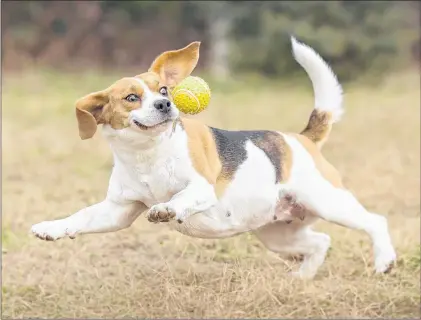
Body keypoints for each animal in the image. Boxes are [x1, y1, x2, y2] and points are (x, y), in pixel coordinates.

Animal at [31, 37, 396, 278]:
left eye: (163, 90)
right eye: (131, 98)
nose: (165, 104)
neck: (149, 153)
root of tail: (301, 138)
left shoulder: (201, 189)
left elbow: (179, 198)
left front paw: (167, 209)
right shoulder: (118, 210)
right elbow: (81, 217)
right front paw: (51, 228)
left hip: (329, 202)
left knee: (376, 221)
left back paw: (384, 261)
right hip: (278, 233)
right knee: (321, 241)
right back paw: (301, 280)